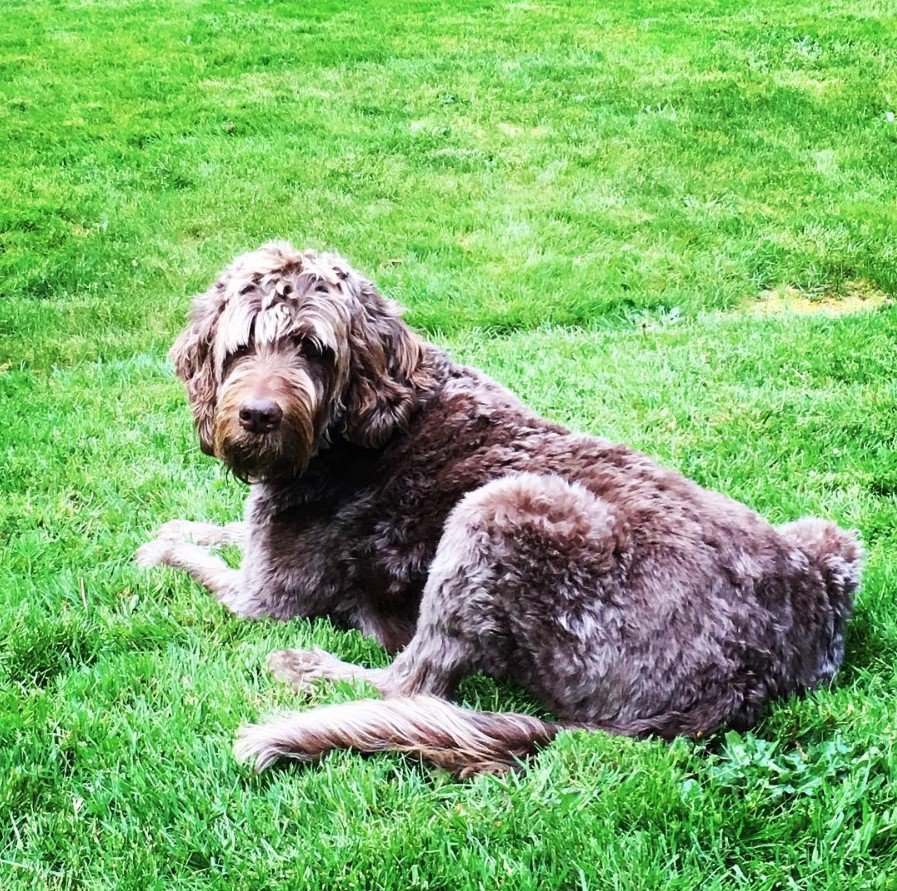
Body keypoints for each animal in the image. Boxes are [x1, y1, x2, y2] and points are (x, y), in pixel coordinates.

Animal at [138, 240, 860, 776]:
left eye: (313, 349)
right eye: (241, 346)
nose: (258, 415)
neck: (367, 420)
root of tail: (747, 680)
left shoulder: (264, 598)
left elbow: (197, 561)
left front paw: (160, 547)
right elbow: (216, 528)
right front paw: (176, 525)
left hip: (499, 507)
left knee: (410, 682)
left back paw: (309, 666)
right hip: (833, 540)